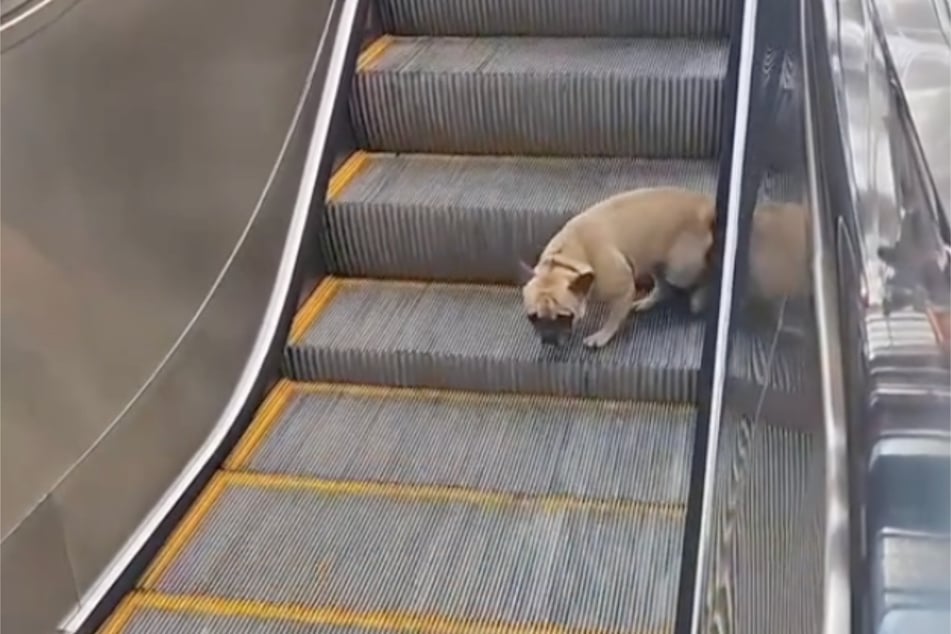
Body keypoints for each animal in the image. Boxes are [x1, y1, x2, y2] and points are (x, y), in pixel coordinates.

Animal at [520, 185, 712, 348]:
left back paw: (700, 299)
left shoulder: (624, 289)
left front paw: (602, 336)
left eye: (564, 317)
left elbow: (614, 319)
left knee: (701, 275)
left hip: (680, 270)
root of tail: (705, 204)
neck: (563, 260)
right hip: (656, 259)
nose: (549, 339)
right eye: (532, 317)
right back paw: (648, 301)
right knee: (663, 285)